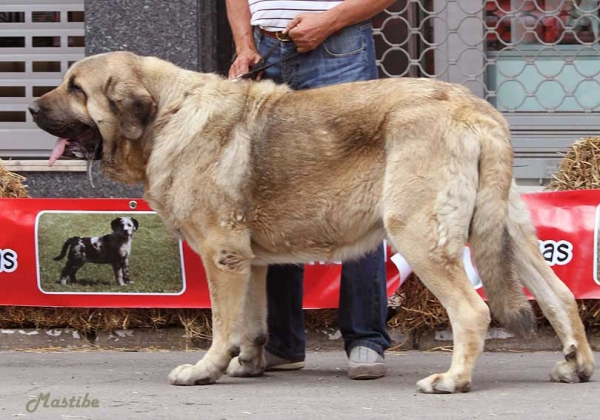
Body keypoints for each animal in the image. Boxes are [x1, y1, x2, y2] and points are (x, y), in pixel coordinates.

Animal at [30, 52, 592, 394]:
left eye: (75, 88)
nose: (31, 107)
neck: (165, 116)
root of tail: (476, 108)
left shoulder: (220, 255)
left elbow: (222, 324)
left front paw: (206, 369)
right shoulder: (248, 261)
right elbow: (251, 324)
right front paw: (248, 365)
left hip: (418, 233)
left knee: (473, 311)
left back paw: (452, 380)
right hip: (505, 230)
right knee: (560, 295)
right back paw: (577, 364)